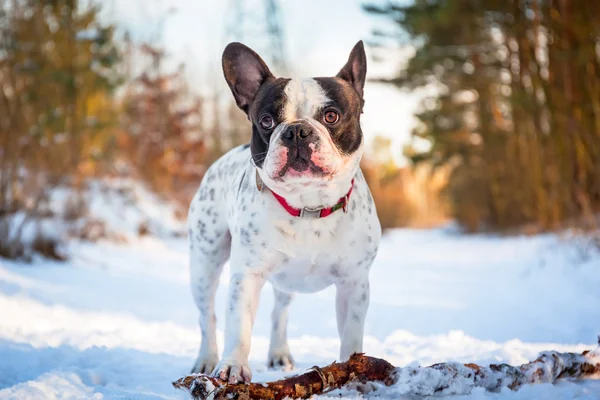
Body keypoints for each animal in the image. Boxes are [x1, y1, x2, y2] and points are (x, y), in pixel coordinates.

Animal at [189, 40, 380, 384]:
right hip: (203, 263)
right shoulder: (247, 276)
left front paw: (354, 367)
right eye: (266, 121)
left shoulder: (354, 283)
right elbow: (239, 326)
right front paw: (233, 366)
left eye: (331, 116)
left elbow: (351, 331)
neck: (309, 206)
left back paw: (279, 353)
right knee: (207, 316)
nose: (297, 131)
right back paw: (207, 359)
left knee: (280, 311)